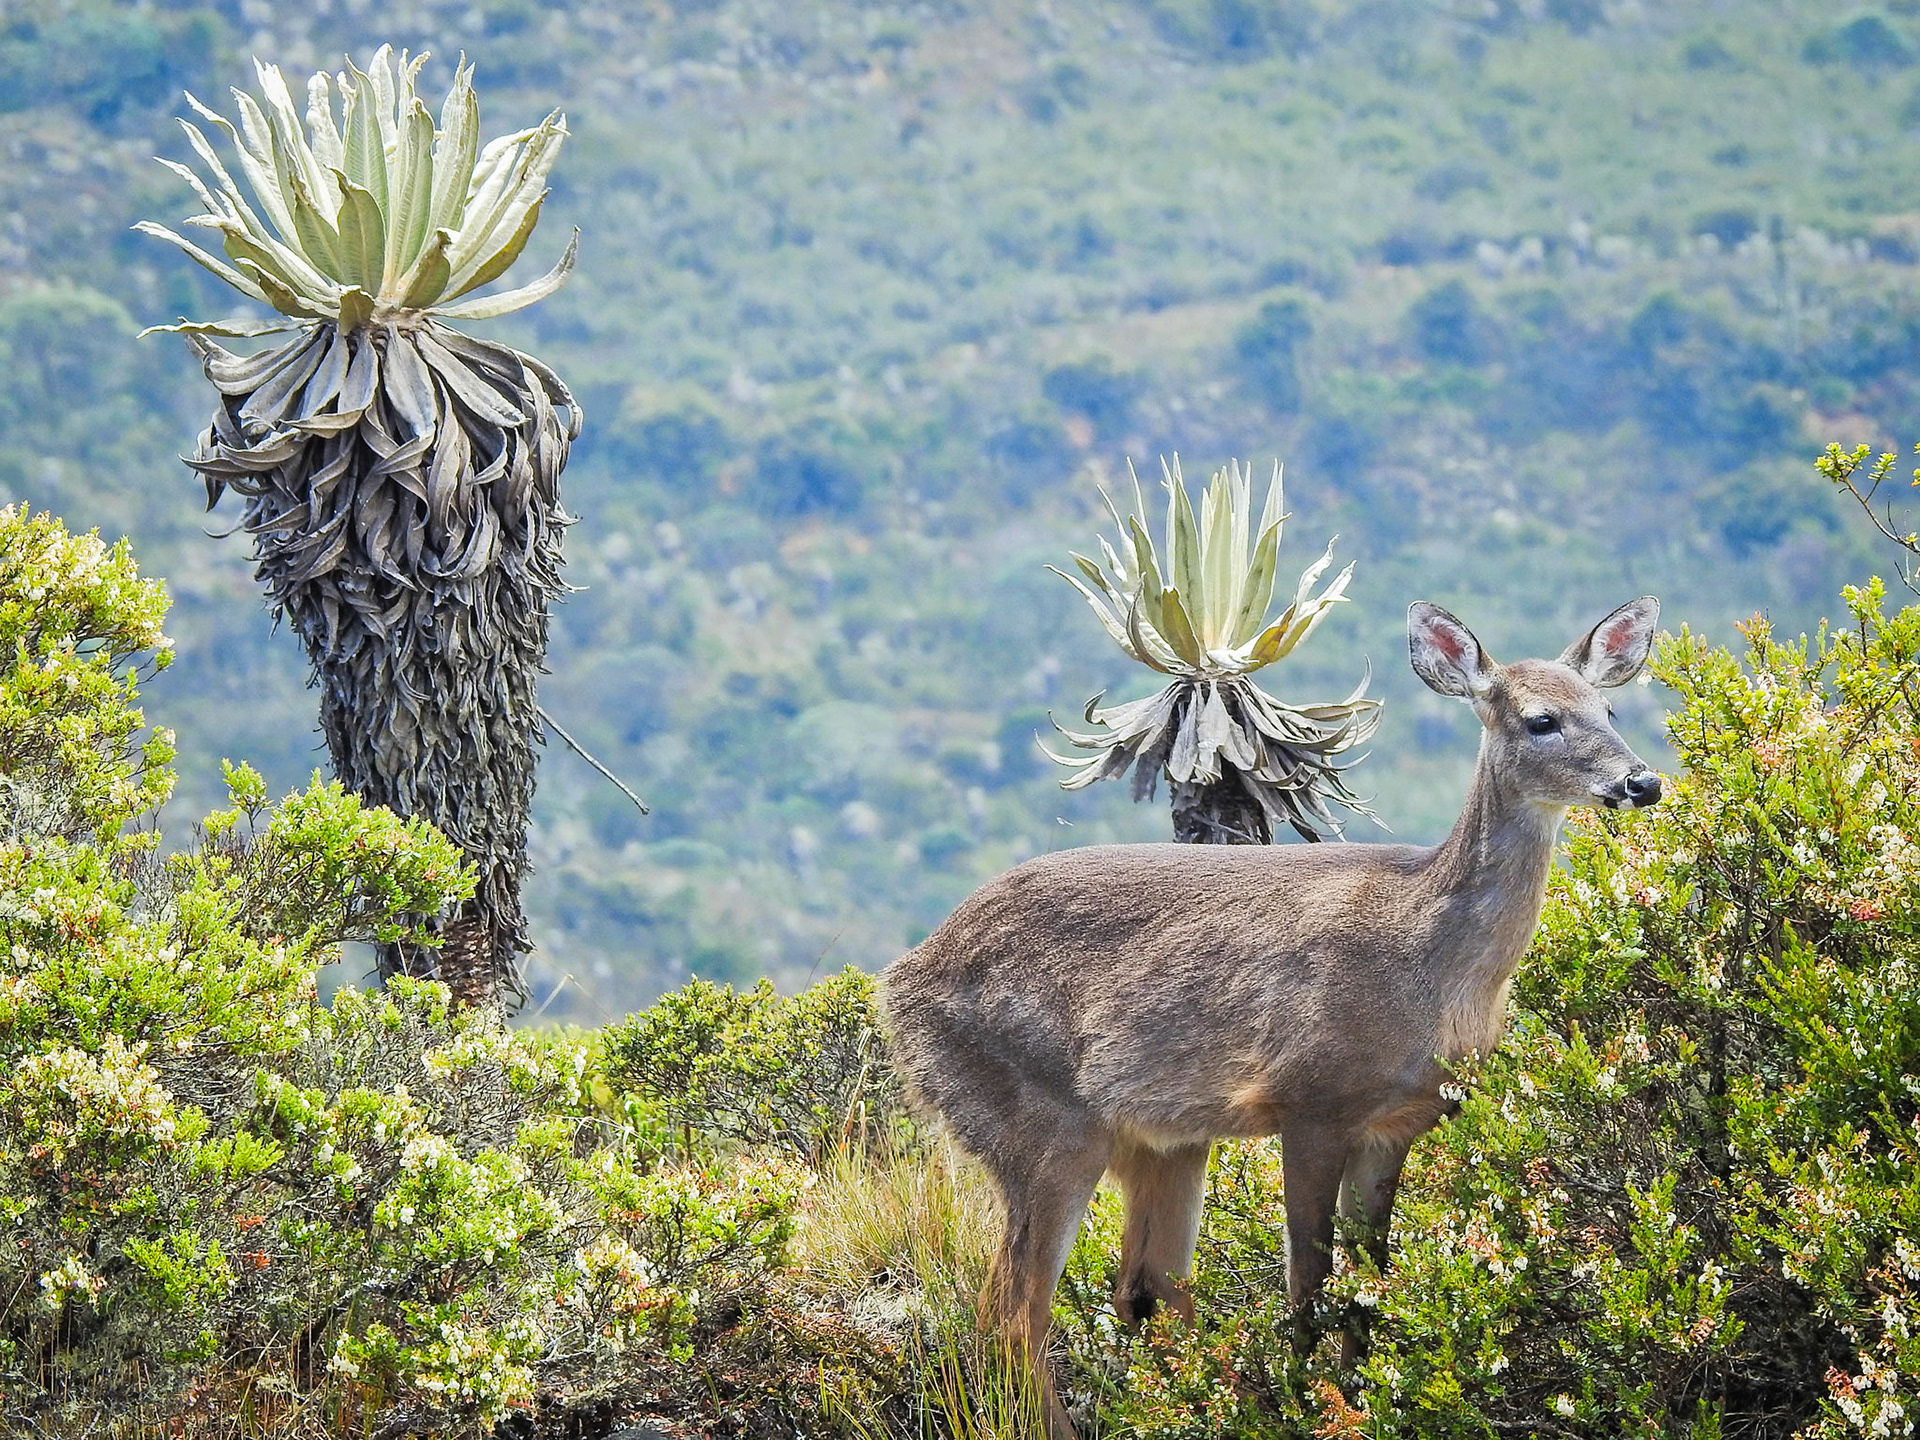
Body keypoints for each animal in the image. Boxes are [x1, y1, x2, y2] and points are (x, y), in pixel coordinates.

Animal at [877, 597, 1664, 1438]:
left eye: (1611, 709)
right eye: (1540, 719)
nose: (1643, 780)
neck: (1430, 962)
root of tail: (897, 985)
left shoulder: (1398, 1123)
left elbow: (1368, 1288)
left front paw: (1357, 1403)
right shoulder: (1310, 1099)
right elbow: (1310, 1284)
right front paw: (1307, 1402)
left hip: (1163, 1141)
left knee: (1145, 1288)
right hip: (1035, 1120)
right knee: (1012, 1310)